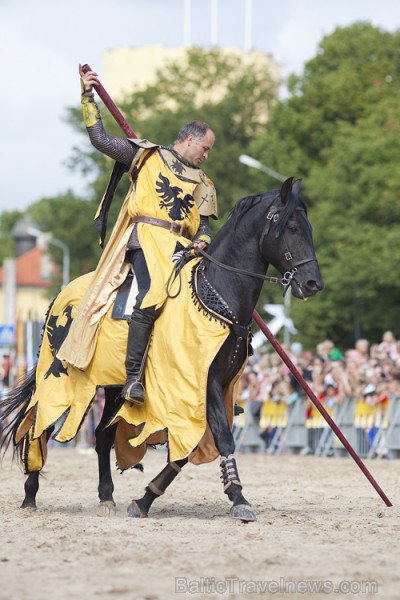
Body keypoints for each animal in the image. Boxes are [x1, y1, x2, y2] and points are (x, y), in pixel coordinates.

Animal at [0, 178, 324, 520]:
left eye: (308, 227)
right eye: (291, 227)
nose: (313, 284)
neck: (214, 292)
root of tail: (62, 297)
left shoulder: (209, 389)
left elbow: (186, 450)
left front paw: (145, 499)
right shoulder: (203, 384)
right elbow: (222, 438)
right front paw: (238, 498)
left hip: (113, 386)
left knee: (102, 435)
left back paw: (106, 497)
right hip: (64, 379)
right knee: (40, 423)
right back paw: (30, 495)